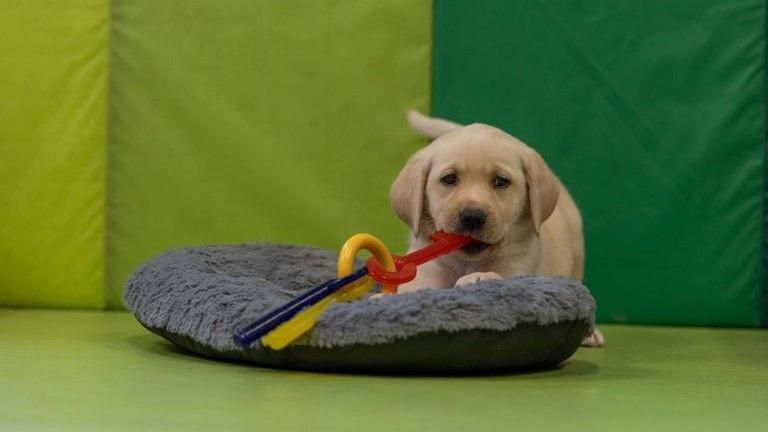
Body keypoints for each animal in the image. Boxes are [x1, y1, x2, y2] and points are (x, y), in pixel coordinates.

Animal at [392, 111, 604, 348]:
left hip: (577, 257)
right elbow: (412, 290)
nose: (472, 217)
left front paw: (479, 277)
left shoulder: (517, 267)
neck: (466, 262)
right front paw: (381, 297)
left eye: (501, 182)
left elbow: (499, 276)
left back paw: (592, 334)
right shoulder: (428, 269)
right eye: (449, 179)